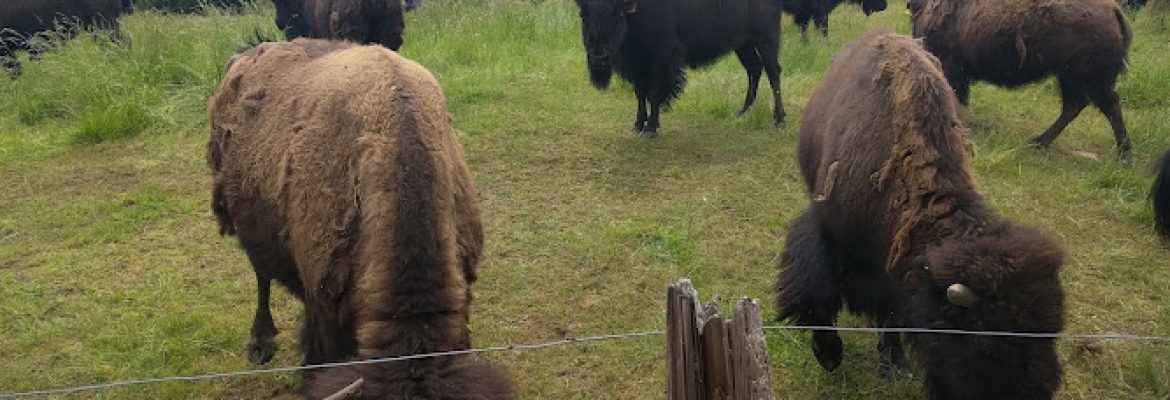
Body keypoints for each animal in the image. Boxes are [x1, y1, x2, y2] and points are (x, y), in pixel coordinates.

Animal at [574, 0, 786, 138]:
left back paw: (779, 121)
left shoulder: (660, 58)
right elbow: (640, 93)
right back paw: (740, 113)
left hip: (765, 39)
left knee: (773, 72)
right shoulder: (637, 64)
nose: (599, 58)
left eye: (616, 14)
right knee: (754, 68)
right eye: (584, 16)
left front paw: (650, 129)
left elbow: (654, 92)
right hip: (743, 44)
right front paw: (637, 125)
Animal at [774, 30, 1066, 399]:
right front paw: (829, 355)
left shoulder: (894, 272)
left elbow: (891, 313)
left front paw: (893, 365)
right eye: (986, 343)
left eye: (1053, 333)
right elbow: (820, 293)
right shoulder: (827, 233)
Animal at [908, 0, 1134, 160]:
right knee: (1074, 106)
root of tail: (1113, 10)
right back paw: (1038, 143)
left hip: (1089, 80)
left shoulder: (950, 66)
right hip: (1070, 78)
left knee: (1109, 106)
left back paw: (1125, 155)